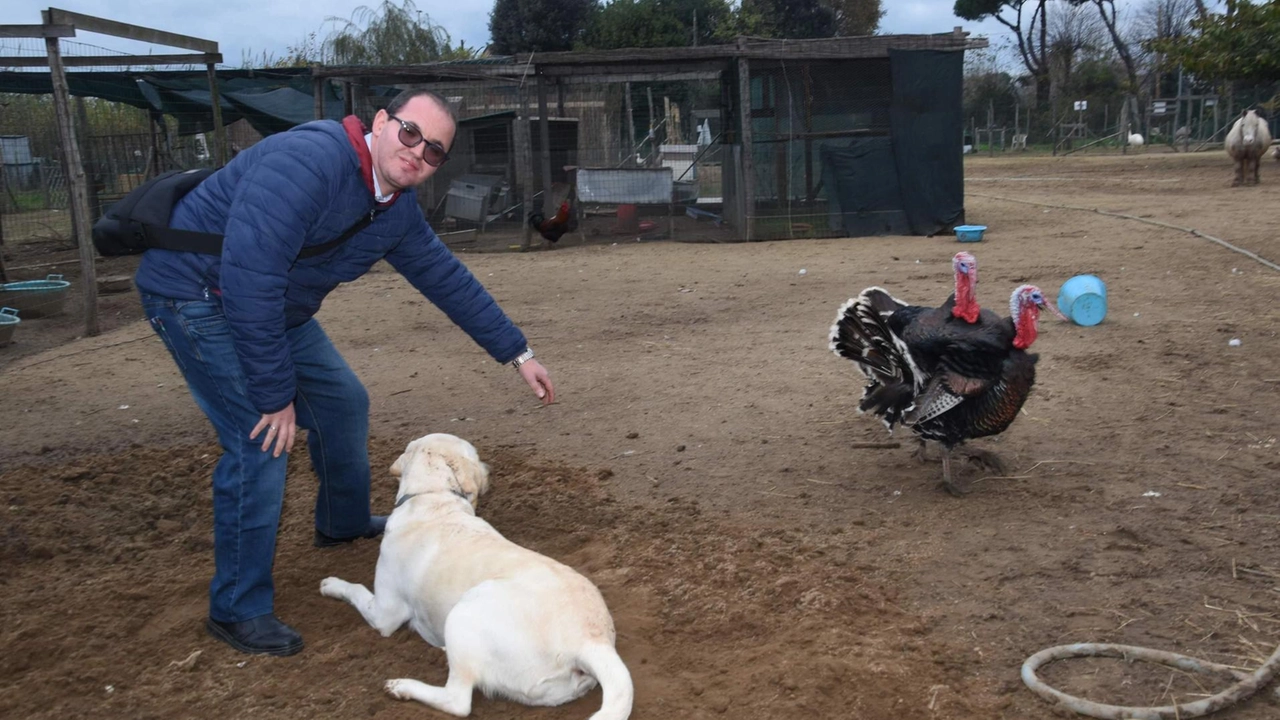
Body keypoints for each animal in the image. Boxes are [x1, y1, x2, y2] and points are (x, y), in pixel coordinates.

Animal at [320, 430, 629, 717]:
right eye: (477, 455)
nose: (490, 469)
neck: (433, 497)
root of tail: (591, 641)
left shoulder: (385, 612)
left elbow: (355, 589)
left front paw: (331, 584)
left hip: (464, 612)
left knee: (457, 701)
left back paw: (402, 686)